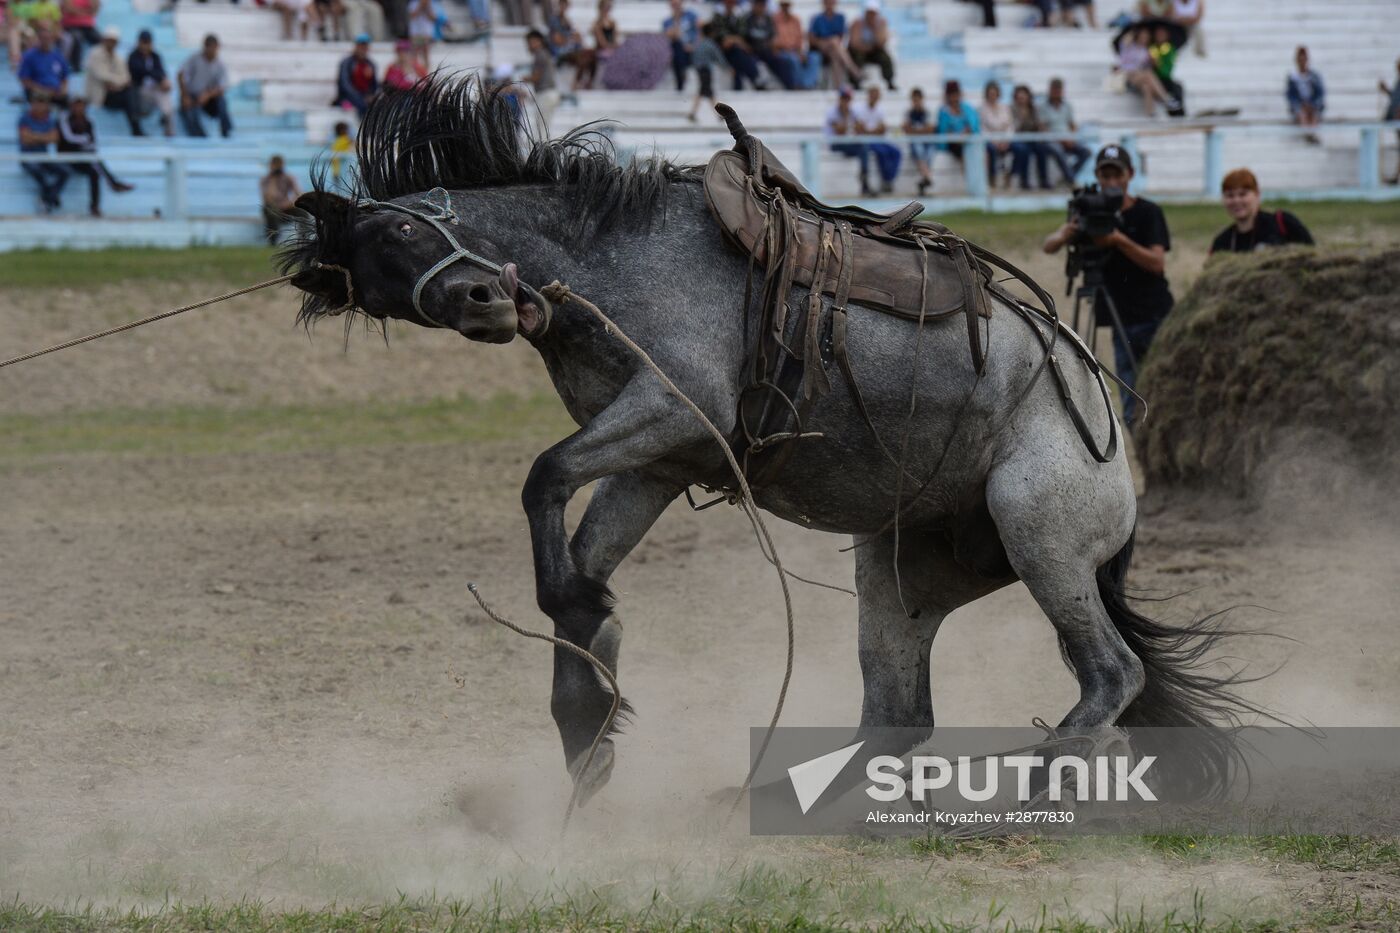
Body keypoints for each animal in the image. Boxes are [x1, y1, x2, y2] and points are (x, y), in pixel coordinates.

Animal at [284, 76, 1271, 806]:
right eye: (376, 283)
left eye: (403, 226)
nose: (487, 303)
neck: (615, 258)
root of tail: (1111, 445)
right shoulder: (655, 456)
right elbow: (576, 548)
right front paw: (588, 720)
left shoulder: (674, 409)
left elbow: (542, 482)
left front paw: (585, 654)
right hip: (902, 574)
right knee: (898, 713)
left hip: (1043, 539)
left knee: (1111, 671)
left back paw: (1048, 772)